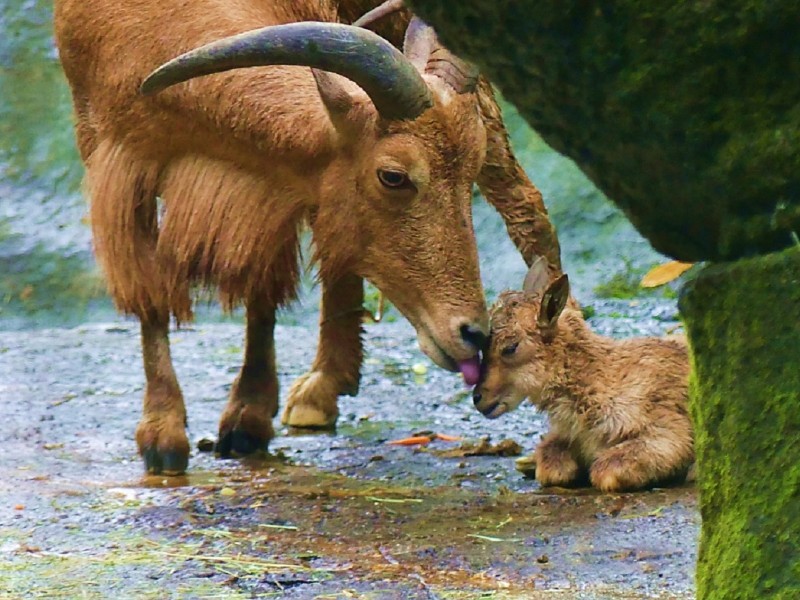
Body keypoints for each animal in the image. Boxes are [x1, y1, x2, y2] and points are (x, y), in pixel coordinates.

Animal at [56, 1, 560, 478]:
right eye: (393, 176)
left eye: (468, 171)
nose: (473, 335)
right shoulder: (116, 155)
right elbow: (152, 297)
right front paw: (163, 437)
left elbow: (262, 285)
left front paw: (247, 419)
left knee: (527, 208)